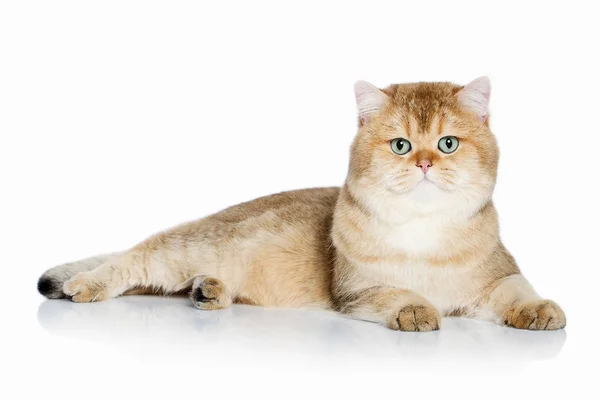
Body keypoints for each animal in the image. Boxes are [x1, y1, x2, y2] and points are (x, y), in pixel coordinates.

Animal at [38, 77, 568, 332]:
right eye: (400, 145)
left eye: (448, 144)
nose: (422, 164)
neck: (424, 231)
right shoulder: (358, 289)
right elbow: (397, 293)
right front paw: (416, 310)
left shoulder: (497, 275)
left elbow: (517, 291)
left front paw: (540, 310)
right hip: (187, 247)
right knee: (134, 259)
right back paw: (84, 285)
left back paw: (208, 290)